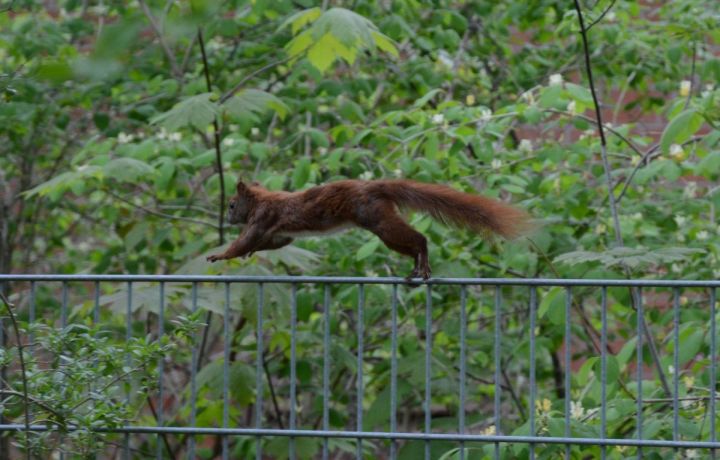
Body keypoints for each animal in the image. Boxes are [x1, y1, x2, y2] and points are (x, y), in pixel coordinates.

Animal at [207, 179, 530, 279]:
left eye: (232, 204)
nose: (227, 216)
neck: (261, 199)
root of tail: (374, 186)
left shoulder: (262, 218)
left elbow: (246, 239)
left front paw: (221, 255)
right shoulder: (279, 232)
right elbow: (274, 243)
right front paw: (249, 254)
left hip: (378, 221)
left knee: (419, 239)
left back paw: (423, 260)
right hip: (384, 228)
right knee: (411, 245)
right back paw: (416, 267)